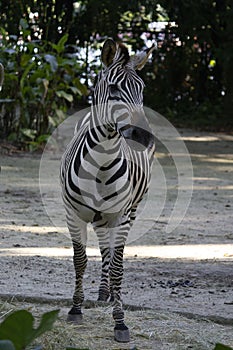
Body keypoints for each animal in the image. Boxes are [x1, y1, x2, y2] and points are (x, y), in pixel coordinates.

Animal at [60, 38, 156, 342]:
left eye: (142, 89)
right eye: (113, 89)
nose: (143, 137)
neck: (101, 163)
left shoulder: (122, 216)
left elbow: (117, 266)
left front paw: (120, 321)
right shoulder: (73, 214)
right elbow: (80, 260)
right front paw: (76, 309)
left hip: (129, 210)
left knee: (111, 251)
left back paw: (111, 293)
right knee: (103, 245)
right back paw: (103, 292)